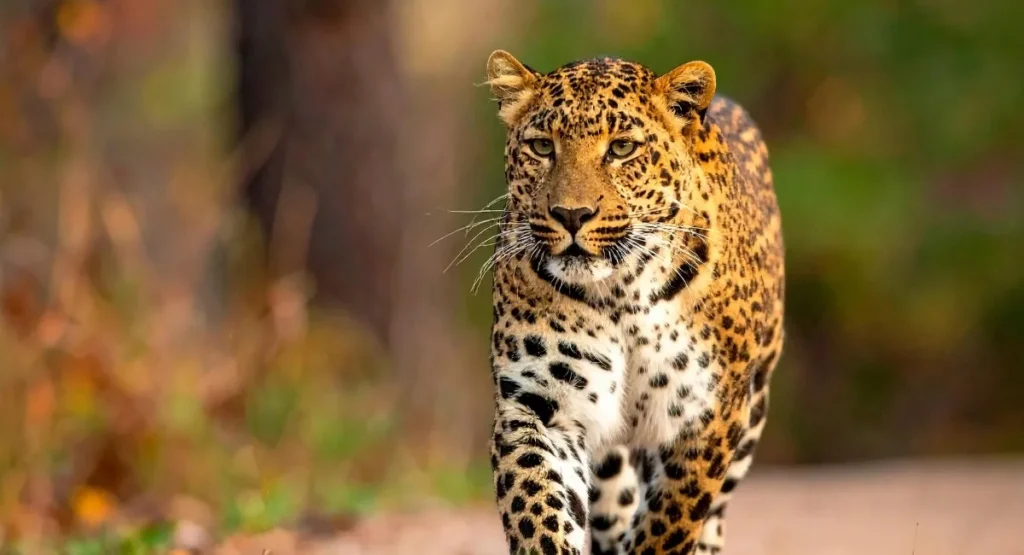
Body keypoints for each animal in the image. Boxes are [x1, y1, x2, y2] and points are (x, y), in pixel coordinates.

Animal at [483, 49, 784, 555]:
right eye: (542, 147)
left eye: (622, 148)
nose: (571, 215)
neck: (622, 292)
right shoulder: (539, 406)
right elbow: (537, 507)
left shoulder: (705, 414)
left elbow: (671, 521)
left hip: (752, 414)